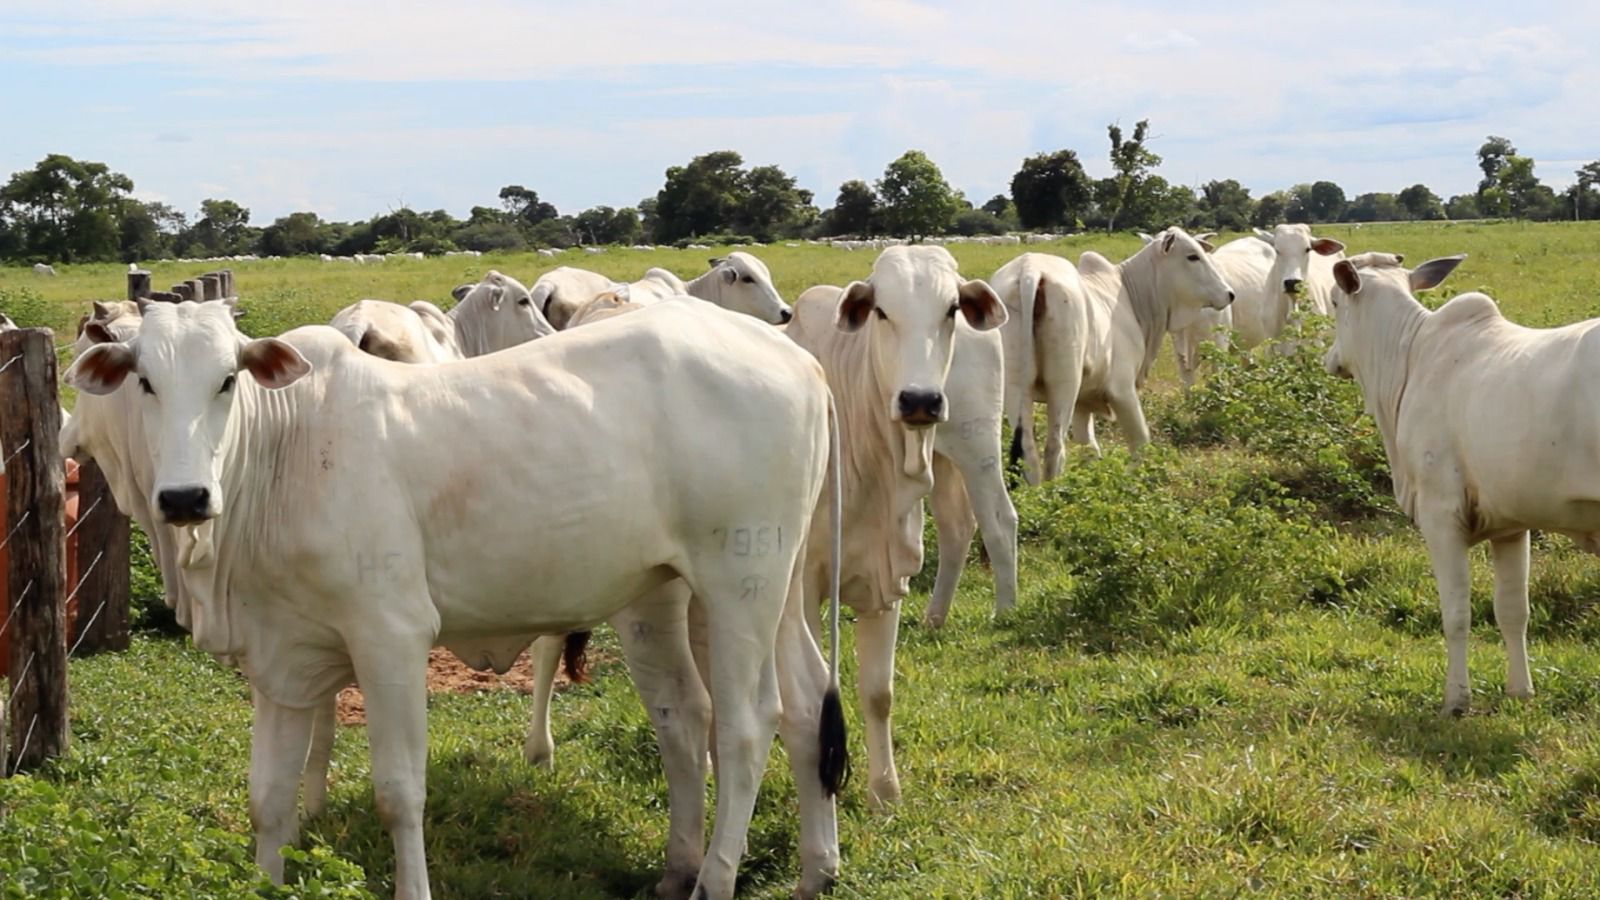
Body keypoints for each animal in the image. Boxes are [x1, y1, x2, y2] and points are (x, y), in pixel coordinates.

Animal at [67, 297, 851, 890]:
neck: (284, 452)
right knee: (795, 705)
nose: (185, 497)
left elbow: (399, 795)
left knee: (747, 724)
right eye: (143, 381)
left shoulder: (391, 636)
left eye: (228, 379)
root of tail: (799, 359)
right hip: (745, 589)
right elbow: (269, 800)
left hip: (739, 580)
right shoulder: (282, 657)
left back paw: (716, 879)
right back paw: (801, 870)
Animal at [787, 243, 1011, 807]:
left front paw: (885, 792)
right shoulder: (803, 587)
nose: (920, 400)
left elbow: (878, 692)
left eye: (951, 309)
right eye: (882, 312)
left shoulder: (884, 575)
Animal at [998, 230, 1235, 483]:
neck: (1133, 297)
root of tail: (1030, 272)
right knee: (1054, 448)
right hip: (1063, 386)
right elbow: (1141, 440)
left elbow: (1089, 447)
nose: (1229, 294)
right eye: (1192, 256)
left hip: (1016, 388)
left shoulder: (1083, 400)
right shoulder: (1121, 389)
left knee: (1028, 450)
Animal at [1318, 248, 1593, 711]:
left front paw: (1456, 700)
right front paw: (1521, 691)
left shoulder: (1440, 515)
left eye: (1336, 301)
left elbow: (1456, 614)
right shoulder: (1512, 525)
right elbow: (1513, 611)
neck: (1409, 359)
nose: (1331, 359)